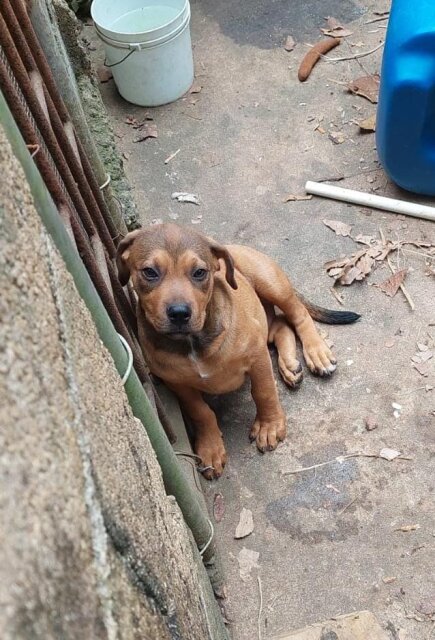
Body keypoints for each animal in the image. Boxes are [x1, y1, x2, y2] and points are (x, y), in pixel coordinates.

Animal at [117, 222, 360, 478]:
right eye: (149, 272)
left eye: (199, 272)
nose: (179, 313)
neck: (193, 342)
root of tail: (231, 247)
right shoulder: (177, 383)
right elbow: (200, 411)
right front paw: (211, 448)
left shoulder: (256, 355)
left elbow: (263, 391)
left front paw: (269, 426)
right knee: (281, 326)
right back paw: (290, 366)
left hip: (270, 283)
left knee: (298, 314)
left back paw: (317, 354)